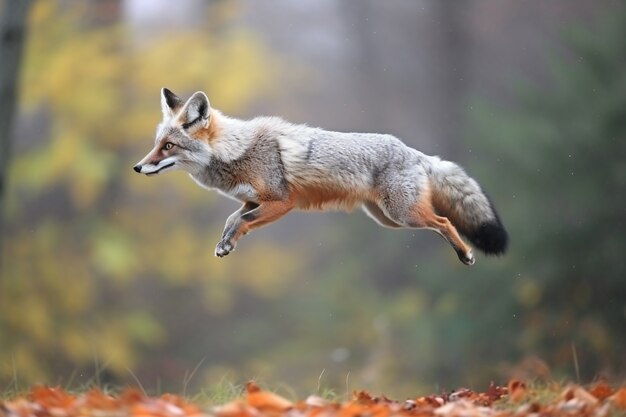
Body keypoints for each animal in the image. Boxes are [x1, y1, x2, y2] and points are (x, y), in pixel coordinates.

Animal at [133, 88, 508, 264]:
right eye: (156, 144)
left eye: (168, 146)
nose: (137, 167)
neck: (236, 152)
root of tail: (415, 151)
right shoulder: (253, 201)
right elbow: (231, 219)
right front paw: (225, 244)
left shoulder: (282, 202)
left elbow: (242, 221)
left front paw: (227, 244)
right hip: (390, 220)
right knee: (442, 223)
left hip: (404, 214)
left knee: (445, 222)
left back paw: (466, 255)